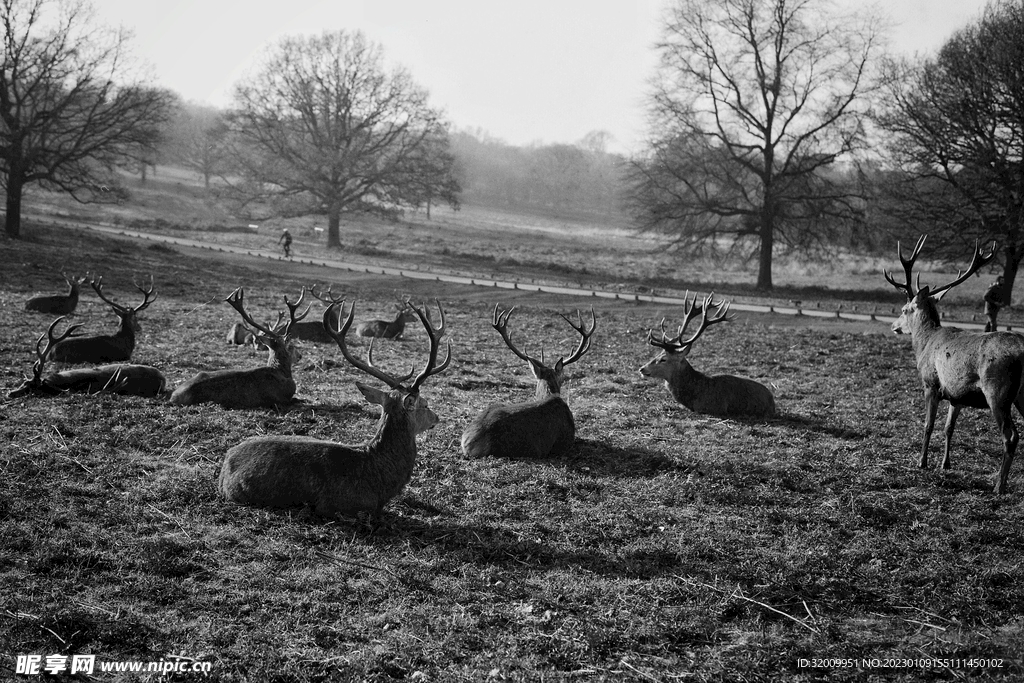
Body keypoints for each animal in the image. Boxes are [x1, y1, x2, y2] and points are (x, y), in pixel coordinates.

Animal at [639, 292, 776, 418]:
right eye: (658, 354)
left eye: (663, 359)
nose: (641, 368)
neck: (696, 394)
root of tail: (773, 400)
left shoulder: (713, 408)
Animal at [884, 235, 1024, 494]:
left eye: (904, 309)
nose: (893, 326)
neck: (925, 343)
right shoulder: (956, 394)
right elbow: (949, 427)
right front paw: (945, 464)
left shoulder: (931, 384)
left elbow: (928, 424)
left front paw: (922, 462)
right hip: (1021, 395)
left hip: (998, 392)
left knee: (1010, 437)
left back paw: (999, 485)